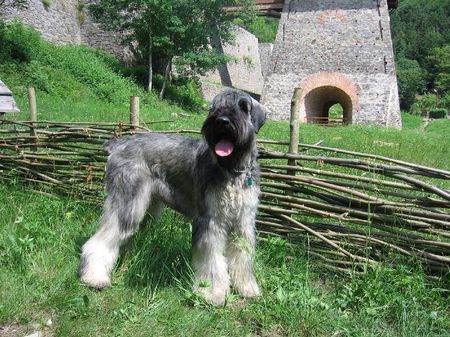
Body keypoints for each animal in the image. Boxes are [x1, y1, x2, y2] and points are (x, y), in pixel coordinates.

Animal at [79, 88, 268, 304]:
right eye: (215, 107)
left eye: (244, 107)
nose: (222, 121)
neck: (234, 171)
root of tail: (119, 144)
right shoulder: (211, 221)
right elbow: (211, 260)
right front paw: (212, 293)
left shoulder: (243, 223)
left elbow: (243, 258)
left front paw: (247, 288)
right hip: (127, 204)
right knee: (101, 240)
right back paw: (94, 277)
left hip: (147, 206)